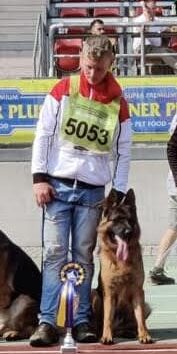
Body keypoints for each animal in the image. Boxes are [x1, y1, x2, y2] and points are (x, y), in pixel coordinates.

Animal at [92, 189, 152, 344]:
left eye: (130, 220)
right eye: (117, 220)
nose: (128, 232)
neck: (121, 262)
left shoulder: (138, 291)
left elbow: (140, 317)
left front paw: (144, 335)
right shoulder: (109, 293)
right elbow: (107, 317)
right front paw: (107, 336)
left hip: (146, 305)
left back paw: (131, 332)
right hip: (94, 295)